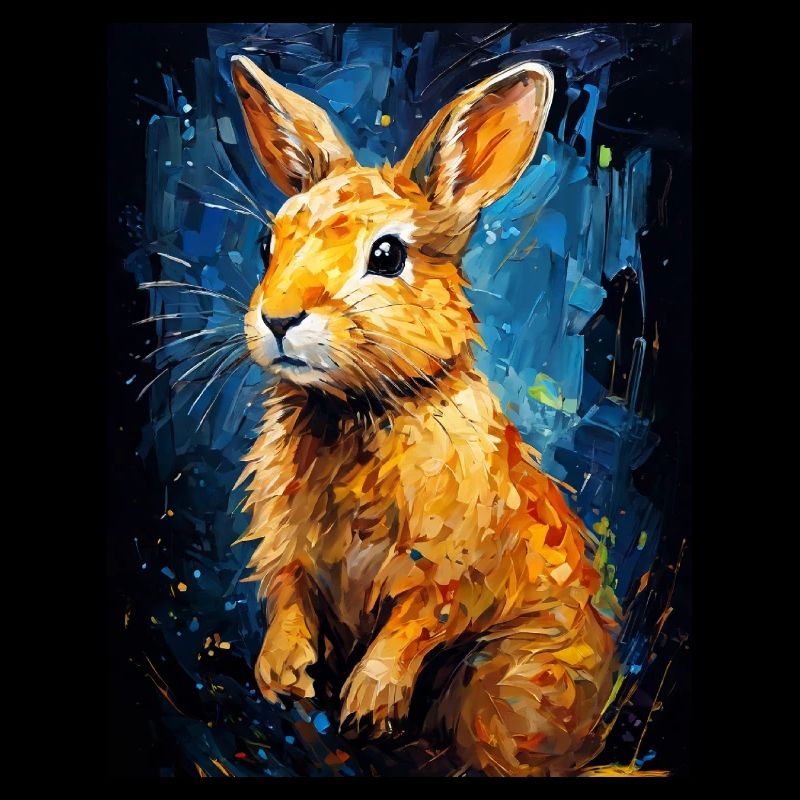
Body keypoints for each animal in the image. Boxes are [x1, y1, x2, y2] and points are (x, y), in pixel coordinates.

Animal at [228, 53, 618, 777]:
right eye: (269, 243)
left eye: (387, 255)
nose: (279, 318)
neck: (360, 406)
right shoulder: (287, 549)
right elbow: (288, 593)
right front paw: (285, 676)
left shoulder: (448, 569)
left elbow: (415, 625)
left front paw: (366, 702)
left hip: (504, 691)